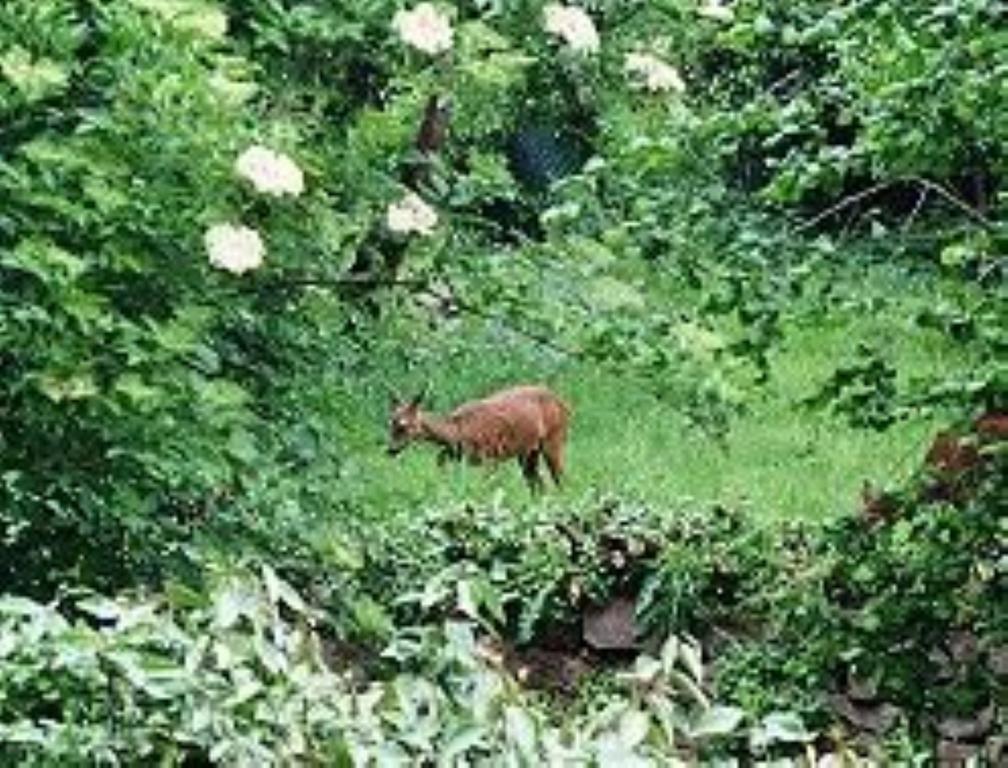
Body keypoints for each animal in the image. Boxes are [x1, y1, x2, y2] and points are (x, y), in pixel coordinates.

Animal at [389, 382, 572, 489]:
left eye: (404, 426)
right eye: (390, 423)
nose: (391, 450)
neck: (458, 431)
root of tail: (565, 405)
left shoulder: (490, 455)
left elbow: (486, 485)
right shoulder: (457, 453)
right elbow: (440, 460)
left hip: (555, 438)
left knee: (560, 478)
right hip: (528, 451)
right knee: (537, 482)